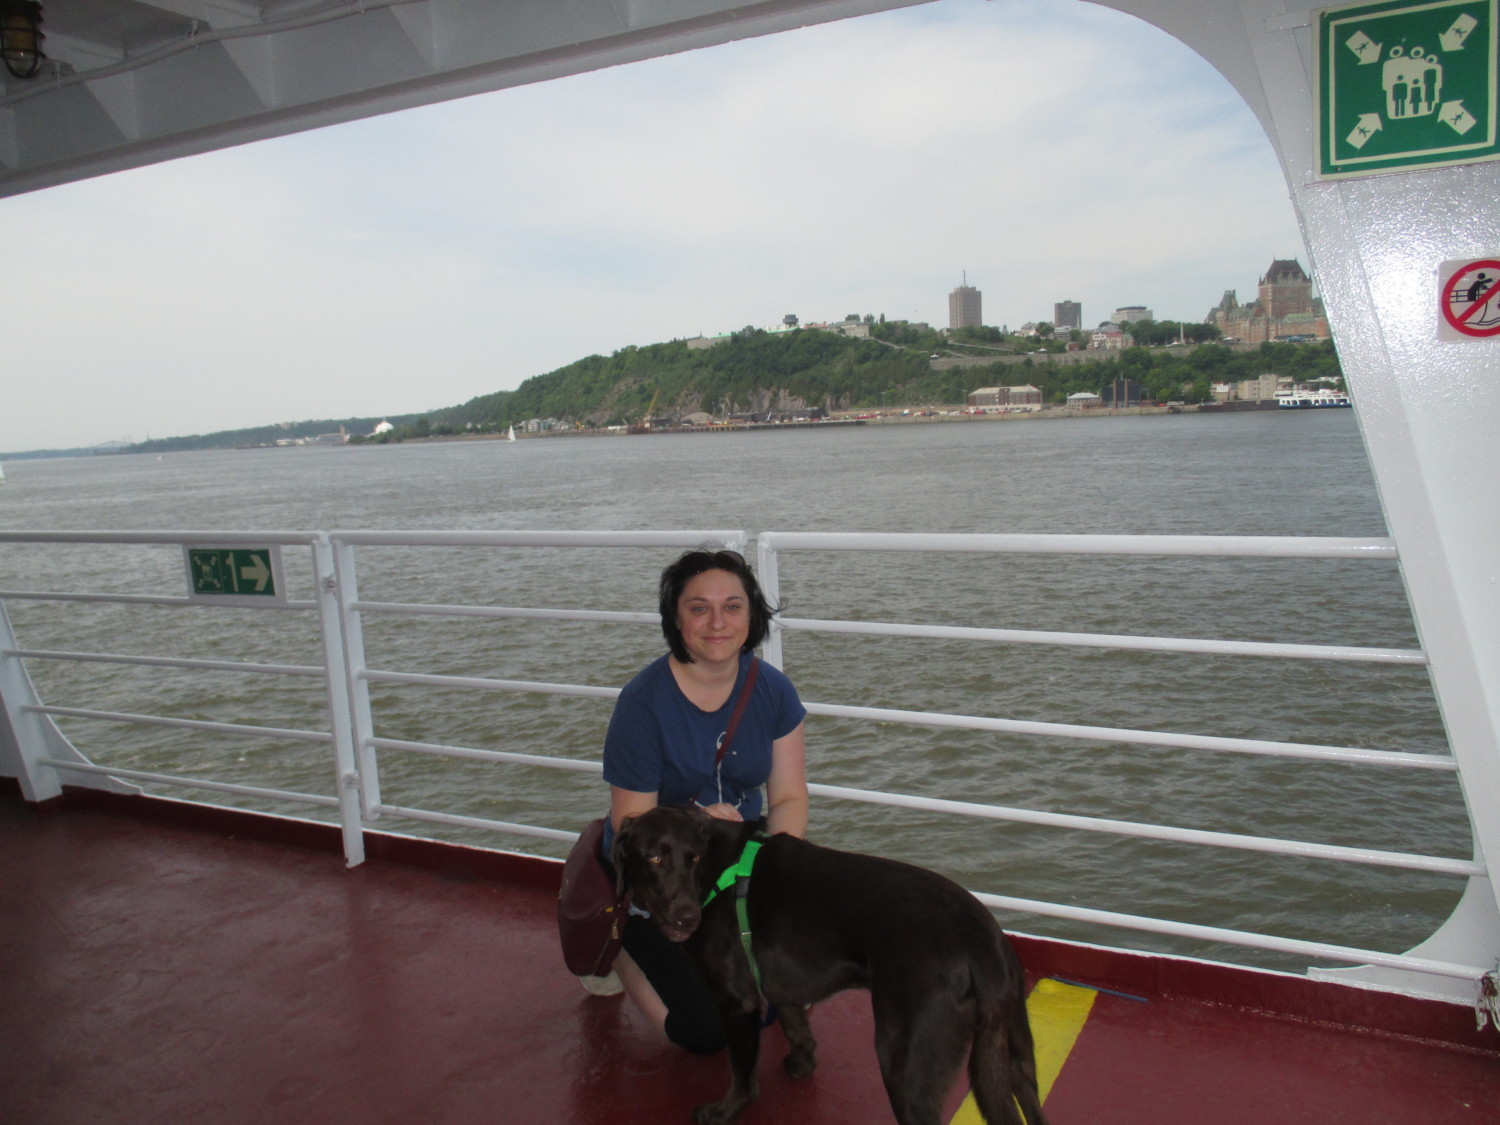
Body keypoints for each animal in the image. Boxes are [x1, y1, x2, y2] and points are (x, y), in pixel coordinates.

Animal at [615, 810, 1050, 1125]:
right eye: (654, 857)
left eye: (694, 858)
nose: (687, 916)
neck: (718, 871)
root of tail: (980, 939)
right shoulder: (779, 987)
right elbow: (798, 1030)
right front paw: (801, 1065)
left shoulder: (736, 1004)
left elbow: (742, 1072)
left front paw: (724, 1112)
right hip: (1017, 1059)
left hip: (905, 1064)